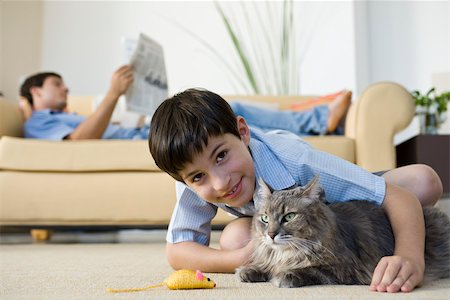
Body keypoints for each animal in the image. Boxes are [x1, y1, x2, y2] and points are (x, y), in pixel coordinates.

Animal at [237, 176, 450, 288]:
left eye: (289, 217)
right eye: (265, 219)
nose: (271, 235)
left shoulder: (347, 268)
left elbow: (309, 269)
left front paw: (283, 276)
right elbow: (264, 265)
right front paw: (249, 270)